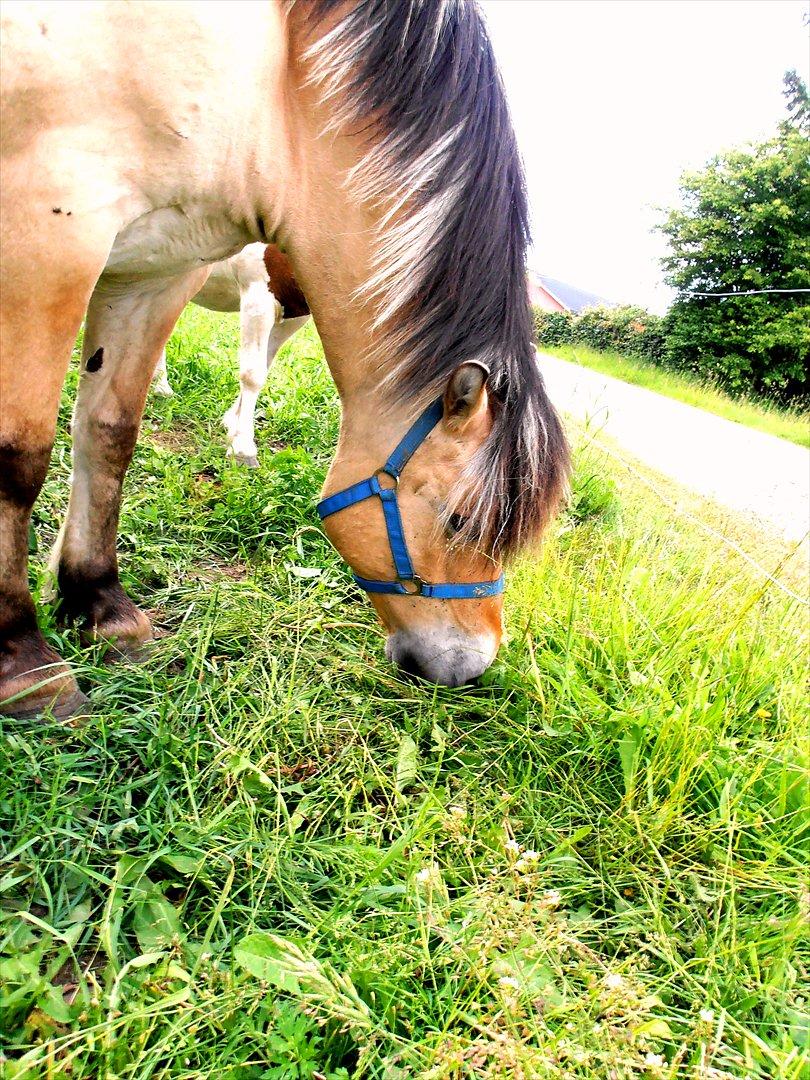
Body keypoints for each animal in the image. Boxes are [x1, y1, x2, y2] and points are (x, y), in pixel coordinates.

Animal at [149, 243, 311, 466]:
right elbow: (252, 375)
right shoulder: (258, 297)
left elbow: (264, 366)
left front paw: (232, 423)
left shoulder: (296, 309)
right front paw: (243, 448)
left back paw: (161, 388)